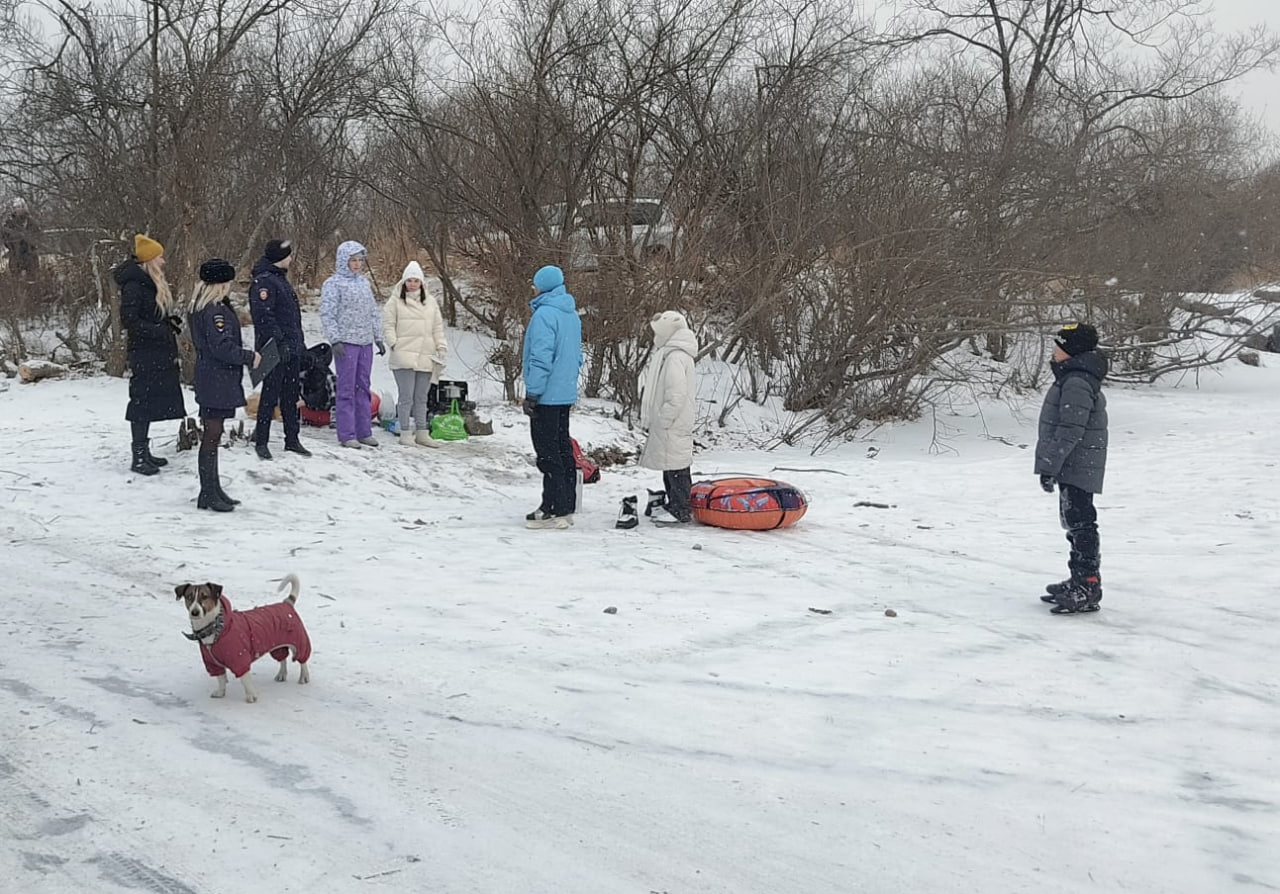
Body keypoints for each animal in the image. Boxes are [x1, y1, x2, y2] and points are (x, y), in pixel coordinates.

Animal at [174, 571, 311, 701]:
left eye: (205, 596)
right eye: (189, 597)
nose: (195, 612)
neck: (214, 627)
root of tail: (287, 603)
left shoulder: (239, 658)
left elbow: (245, 679)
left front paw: (251, 695)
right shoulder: (211, 662)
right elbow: (220, 678)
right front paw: (221, 692)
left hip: (299, 641)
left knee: (302, 660)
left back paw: (304, 676)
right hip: (277, 646)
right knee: (282, 658)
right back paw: (282, 674)